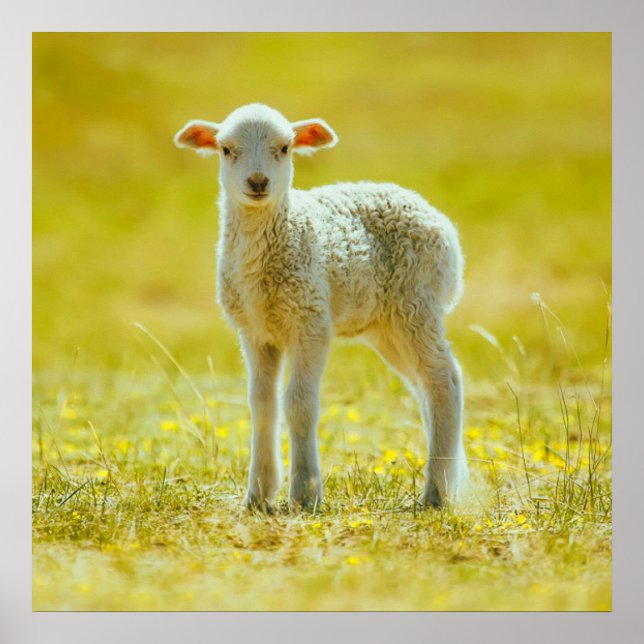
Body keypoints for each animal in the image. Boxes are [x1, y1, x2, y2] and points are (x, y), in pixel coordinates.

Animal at [174, 103, 467, 511]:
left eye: (285, 148)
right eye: (225, 150)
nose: (258, 182)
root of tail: (438, 220)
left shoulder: (310, 322)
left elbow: (298, 404)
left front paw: (305, 493)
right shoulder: (255, 331)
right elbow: (261, 405)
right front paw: (258, 494)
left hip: (417, 304)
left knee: (445, 380)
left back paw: (435, 494)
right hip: (386, 325)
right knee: (425, 386)